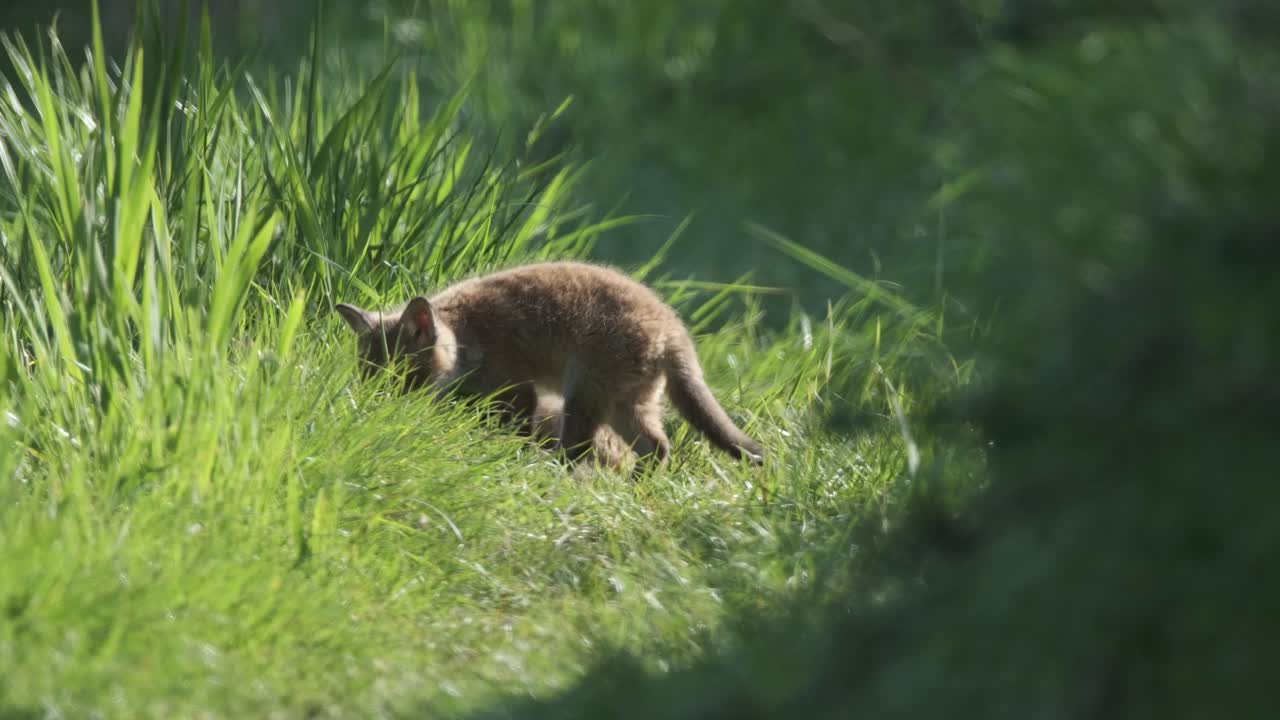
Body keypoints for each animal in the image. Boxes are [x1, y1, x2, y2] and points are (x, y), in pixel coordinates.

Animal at [335, 261, 765, 469]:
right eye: (368, 378)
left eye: (400, 378)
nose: (375, 412)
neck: (465, 338)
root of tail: (674, 328)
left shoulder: (517, 391)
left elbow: (513, 431)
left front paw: (504, 456)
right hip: (625, 407)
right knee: (658, 448)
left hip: (585, 399)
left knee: (580, 452)